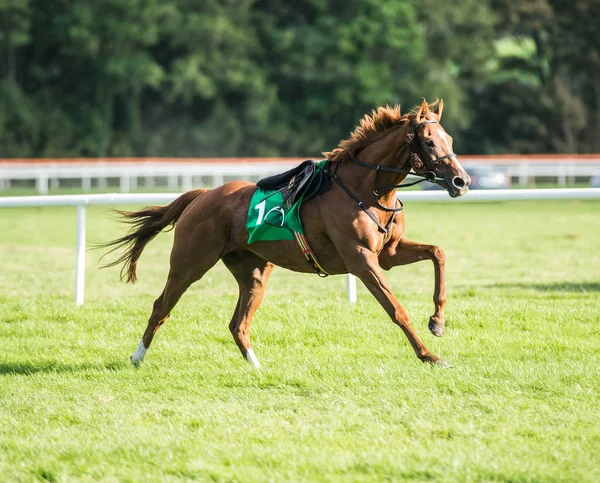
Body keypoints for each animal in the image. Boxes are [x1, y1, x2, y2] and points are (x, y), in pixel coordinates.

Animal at [101, 99, 472, 370]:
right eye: (429, 141)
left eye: (451, 140)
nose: (462, 181)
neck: (366, 189)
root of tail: (203, 195)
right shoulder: (361, 259)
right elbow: (395, 308)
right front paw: (430, 355)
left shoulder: (388, 253)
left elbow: (438, 252)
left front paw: (438, 322)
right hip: (189, 263)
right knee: (161, 306)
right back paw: (137, 357)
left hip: (254, 271)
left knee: (238, 323)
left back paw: (256, 367)